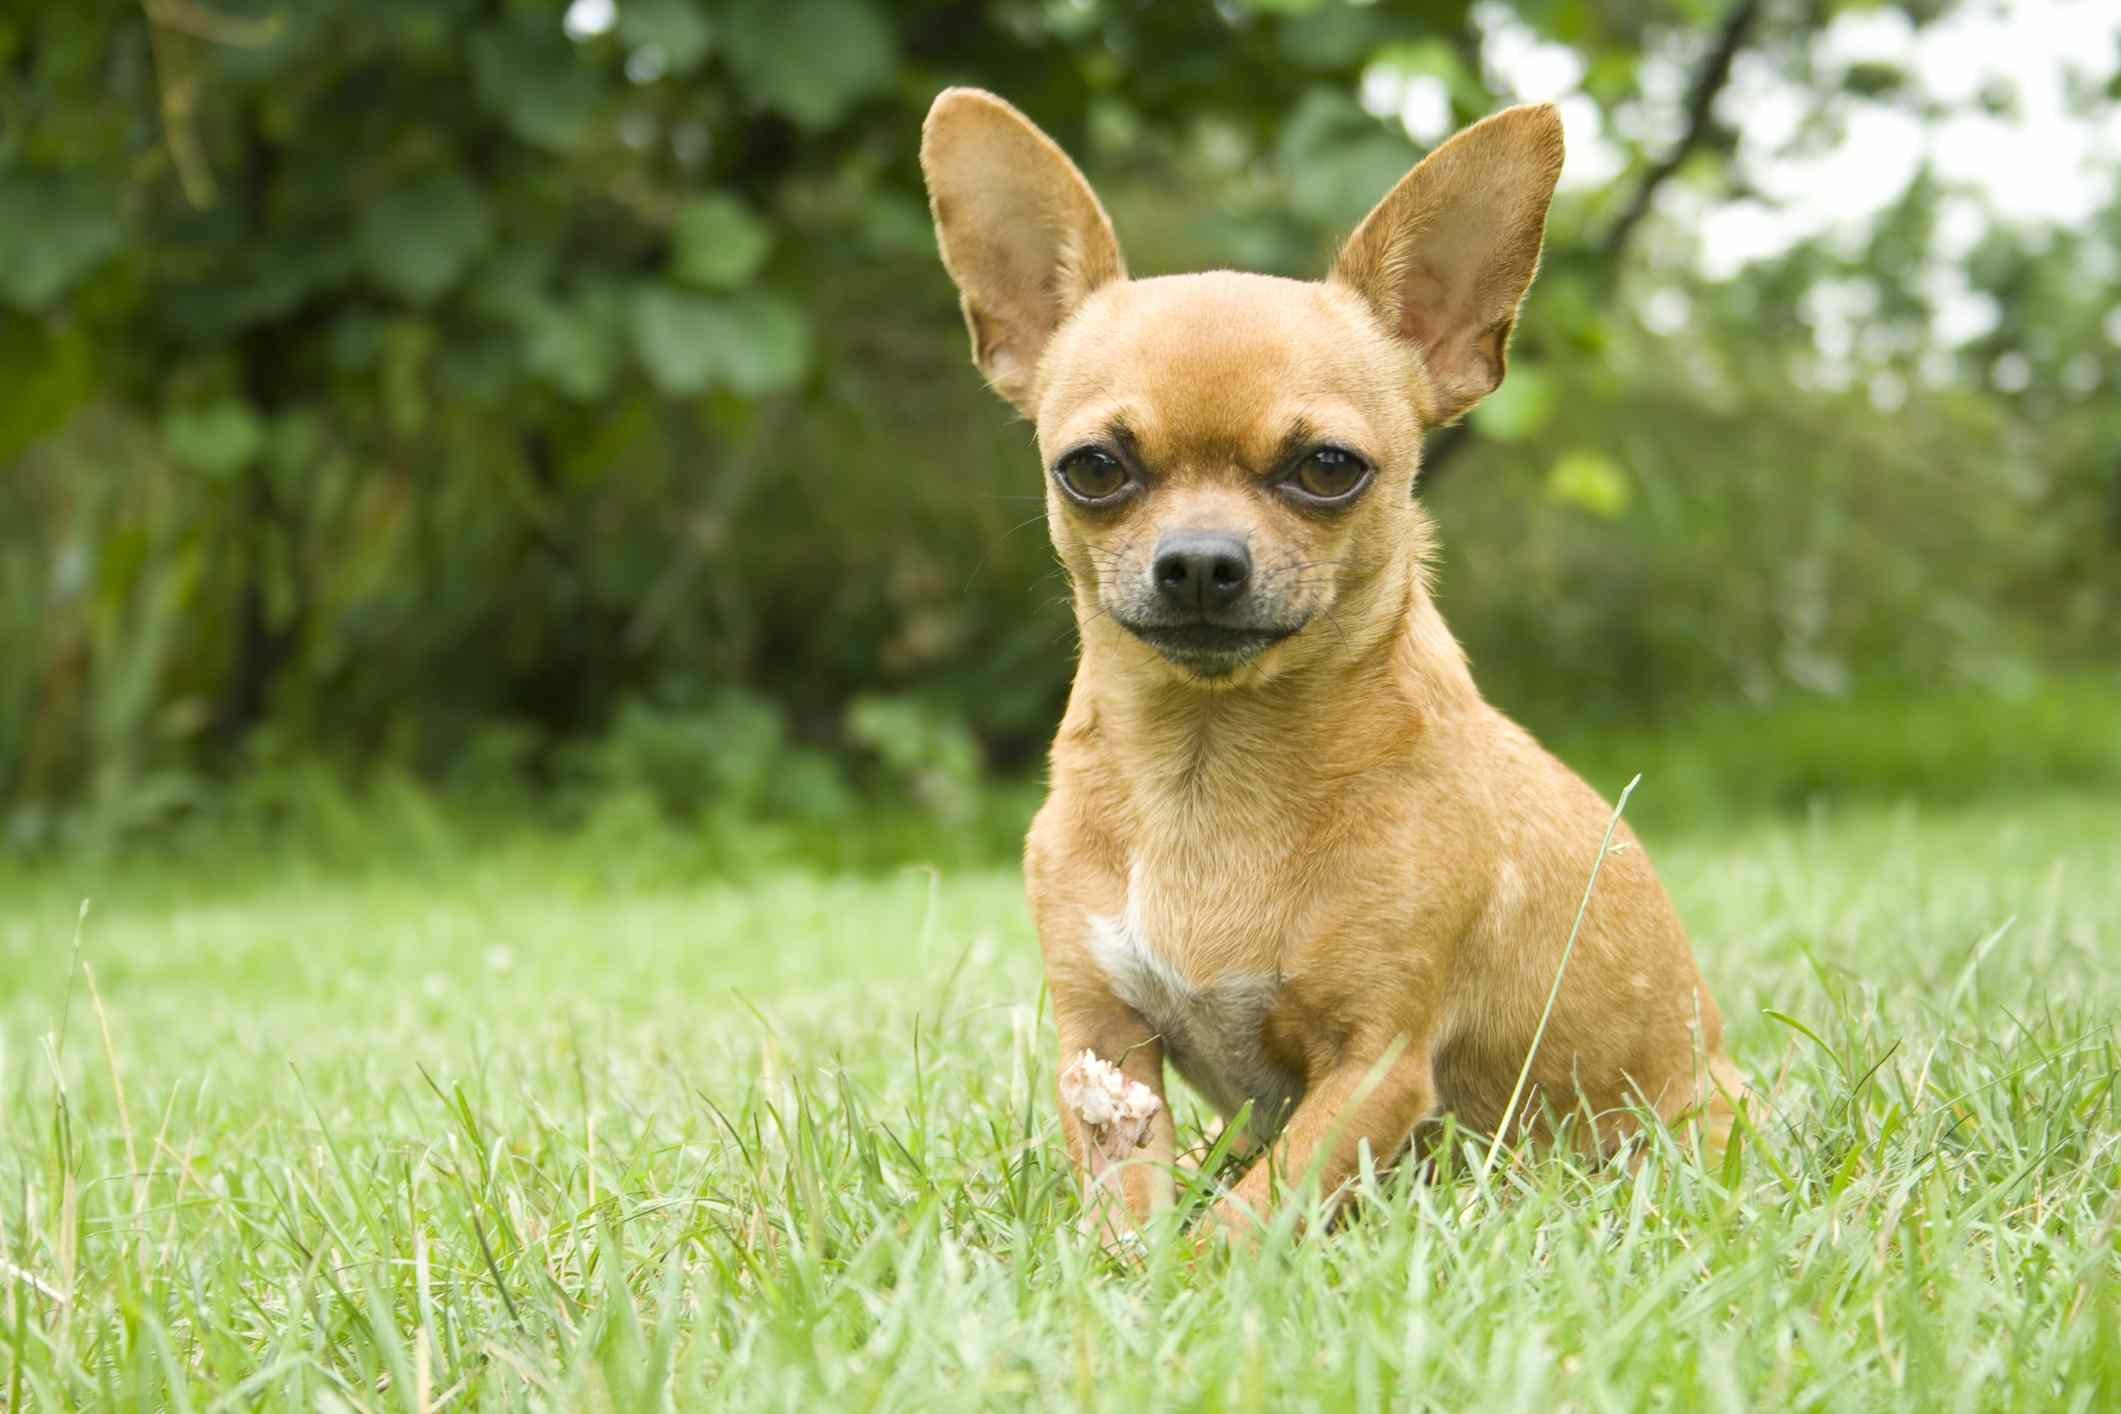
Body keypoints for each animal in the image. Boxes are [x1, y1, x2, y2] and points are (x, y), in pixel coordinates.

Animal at [924, 88, 1739, 1238]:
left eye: (1327, 468)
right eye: (1092, 468)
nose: (1200, 562)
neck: (1207, 772)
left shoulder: (1374, 1068)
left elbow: (1244, 1222)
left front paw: (1192, 1271)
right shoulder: (1105, 1046)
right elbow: (1131, 1209)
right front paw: (1124, 1264)